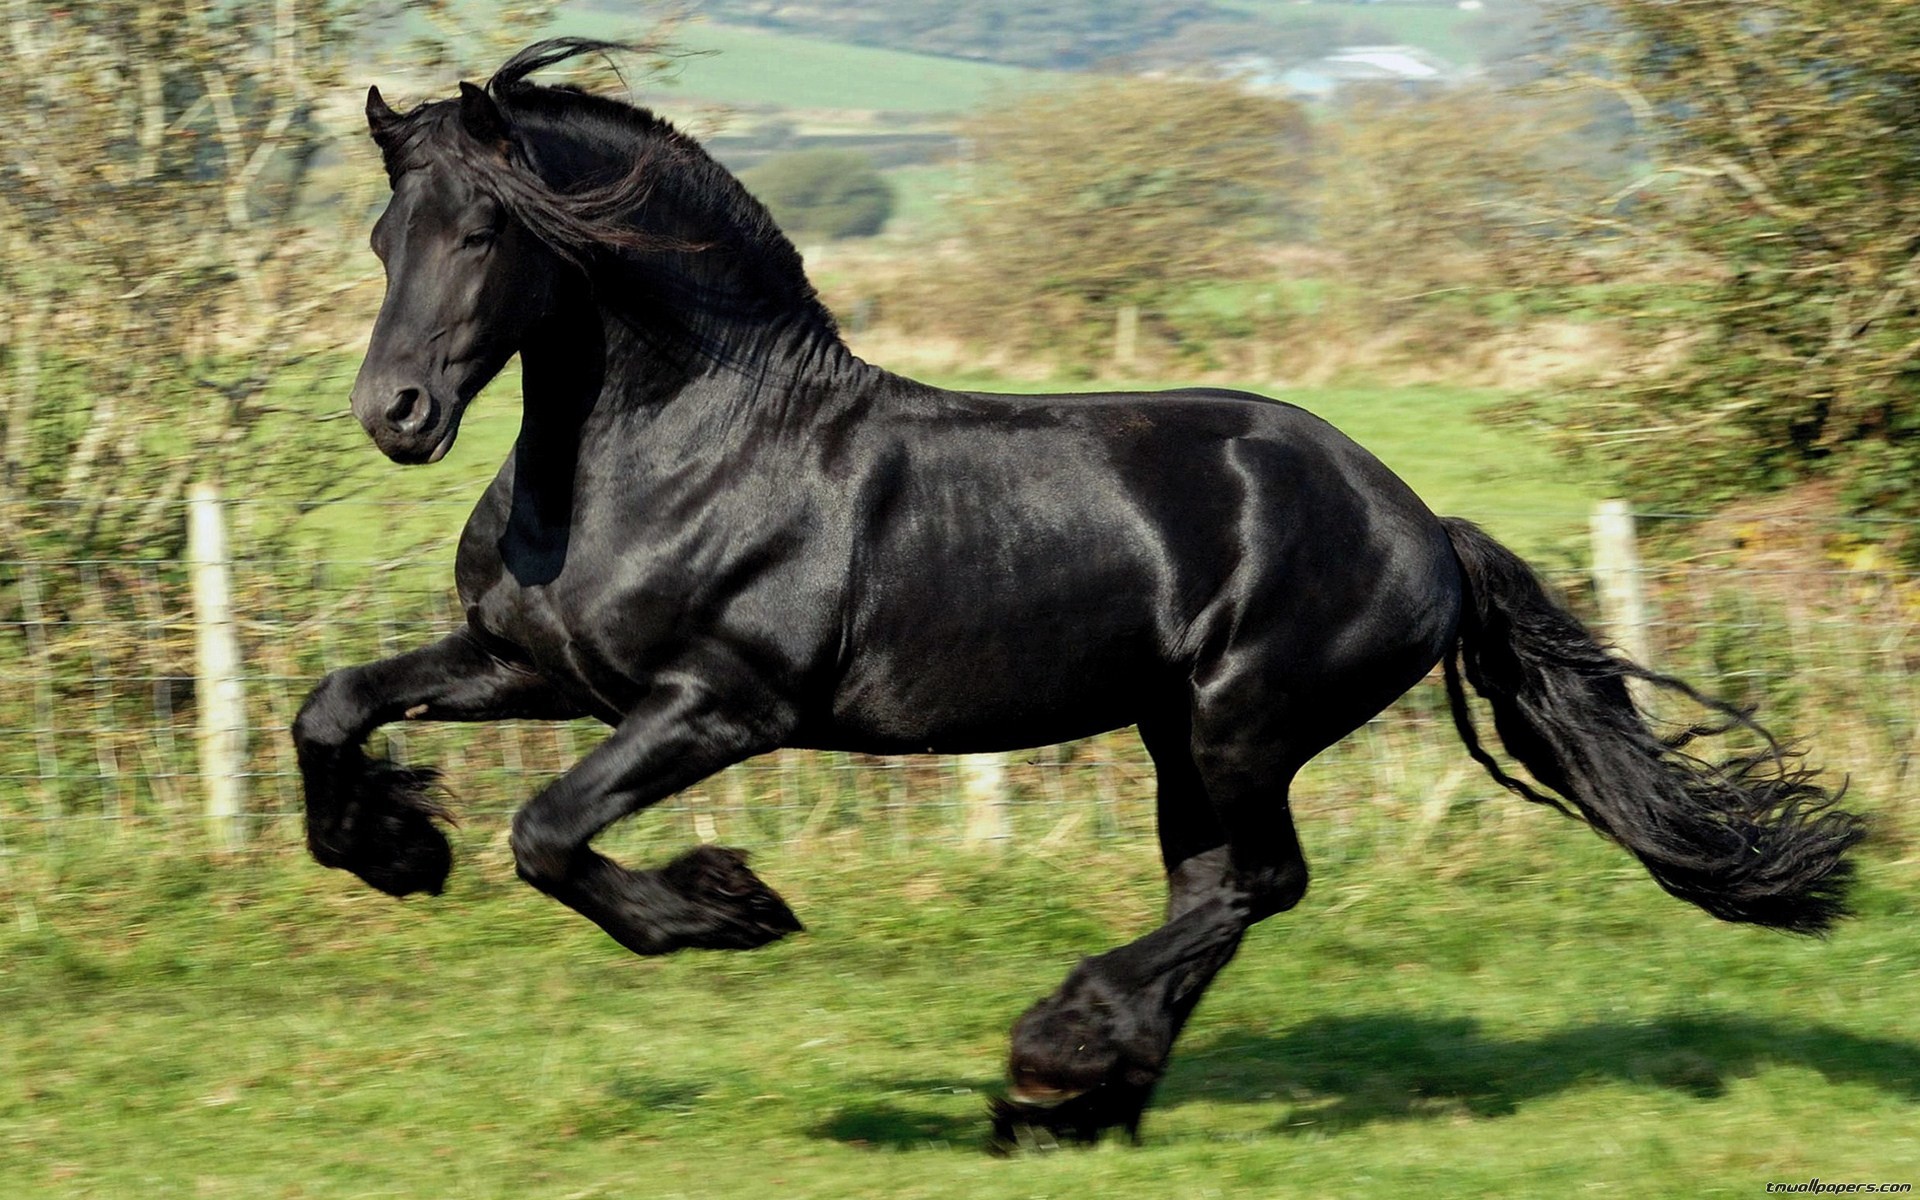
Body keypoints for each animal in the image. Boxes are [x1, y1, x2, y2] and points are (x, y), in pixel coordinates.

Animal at [292, 38, 1865, 1148]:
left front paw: (730, 909)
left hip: (1242, 722)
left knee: (1260, 883)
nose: (396, 416)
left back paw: (1056, 1056)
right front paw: (391, 849)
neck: (683, 445)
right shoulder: (537, 668)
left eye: (486, 235)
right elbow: (334, 707)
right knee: (1218, 888)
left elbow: (551, 833)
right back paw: (1083, 1101)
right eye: (382, 239)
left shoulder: (721, 707)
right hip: (1179, 734)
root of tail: (1420, 520)